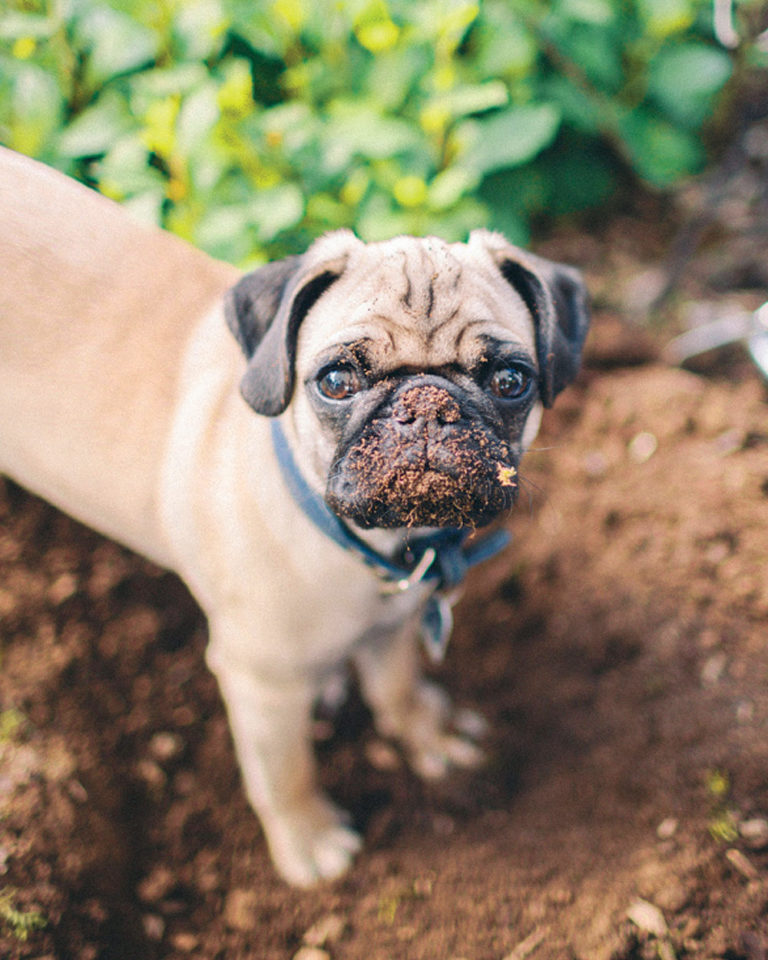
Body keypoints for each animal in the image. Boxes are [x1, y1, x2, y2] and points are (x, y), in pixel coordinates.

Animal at [0, 146, 588, 888]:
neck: (384, 546)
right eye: (336, 381)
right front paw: (309, 840)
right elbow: (284, 773)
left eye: (511, 381)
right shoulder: (263, 685)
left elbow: (398, 687)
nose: (427, 405)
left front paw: (427, 733)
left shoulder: (392, 630)